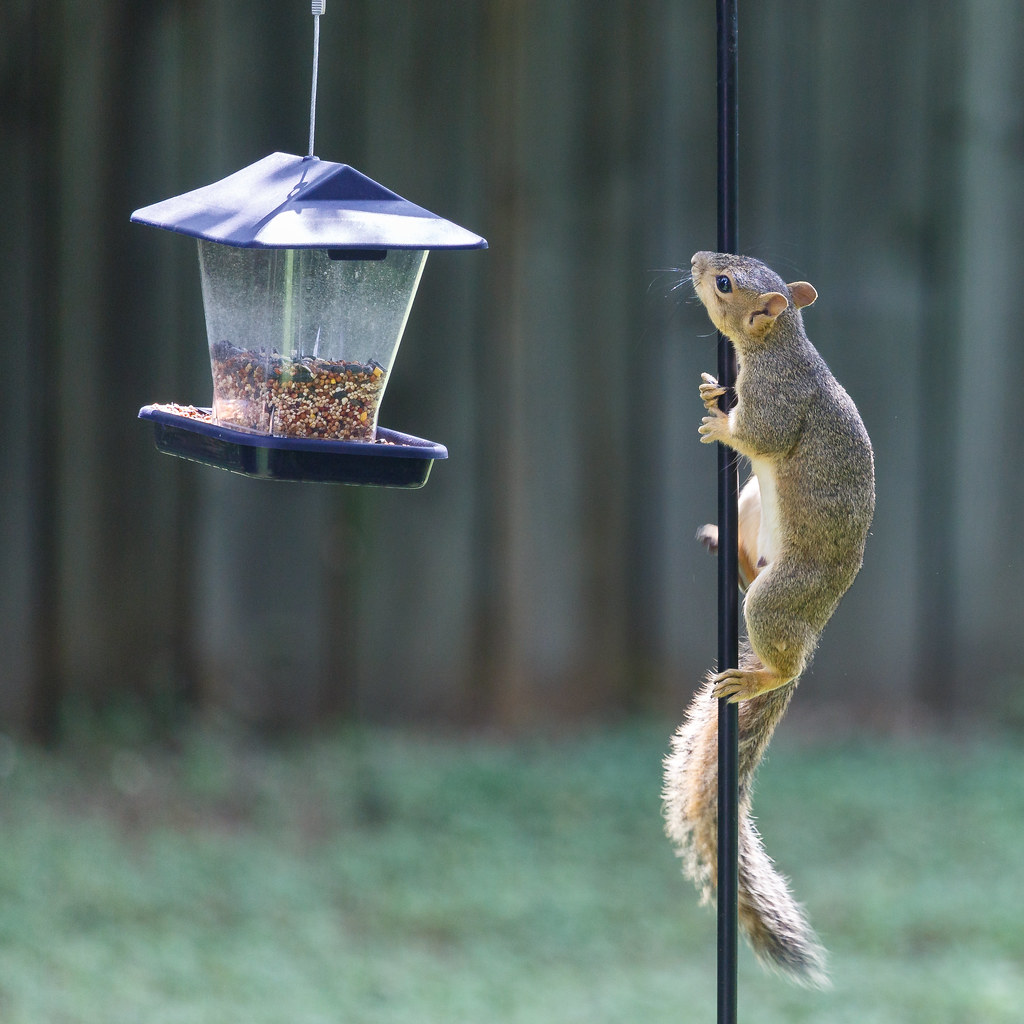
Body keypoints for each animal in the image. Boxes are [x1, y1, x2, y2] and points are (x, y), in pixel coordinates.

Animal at [662, 251, 875, 987]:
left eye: (726, 284)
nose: (697, 261)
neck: (780, 343)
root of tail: (816, 618)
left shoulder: (780, 399)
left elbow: (762, 433)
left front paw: (721, 423)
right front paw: (709, 392)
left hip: (781, 599)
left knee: (780, 652)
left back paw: (761, 676)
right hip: (751, 506)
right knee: (746, 571)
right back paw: (723, 551)